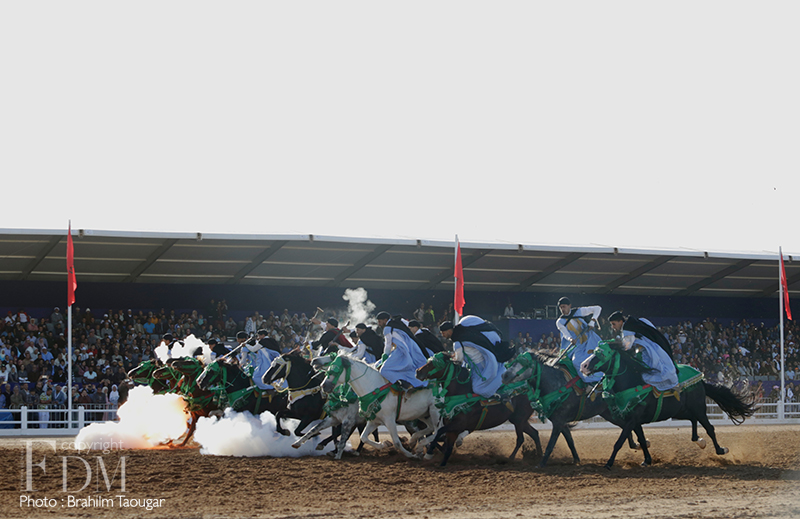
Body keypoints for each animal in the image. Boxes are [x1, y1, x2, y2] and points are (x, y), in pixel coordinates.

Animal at [501, 350, 647, 467]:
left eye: (524, 362)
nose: (505, 376)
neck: (558, 386)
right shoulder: (561, 422)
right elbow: (570, 441)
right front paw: (576, 460)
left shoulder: (559, 422)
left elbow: (551, 444)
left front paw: (541, 463)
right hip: (608, 414)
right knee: (626, 426)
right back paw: (637, 445)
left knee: (630, 425)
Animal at [581, 339, 757, 469]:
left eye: (601, 354)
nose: (583, 366)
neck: (632, 384)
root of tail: (701, 379)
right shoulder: (634, 420)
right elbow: (641, 439)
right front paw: (647, 460)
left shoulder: (632, 420)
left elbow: (619, 441)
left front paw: (609, 463)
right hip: (680, 410)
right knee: (693, 420)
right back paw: (699, 440)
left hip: (699, 408)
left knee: (709, 427)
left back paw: (720, 449)